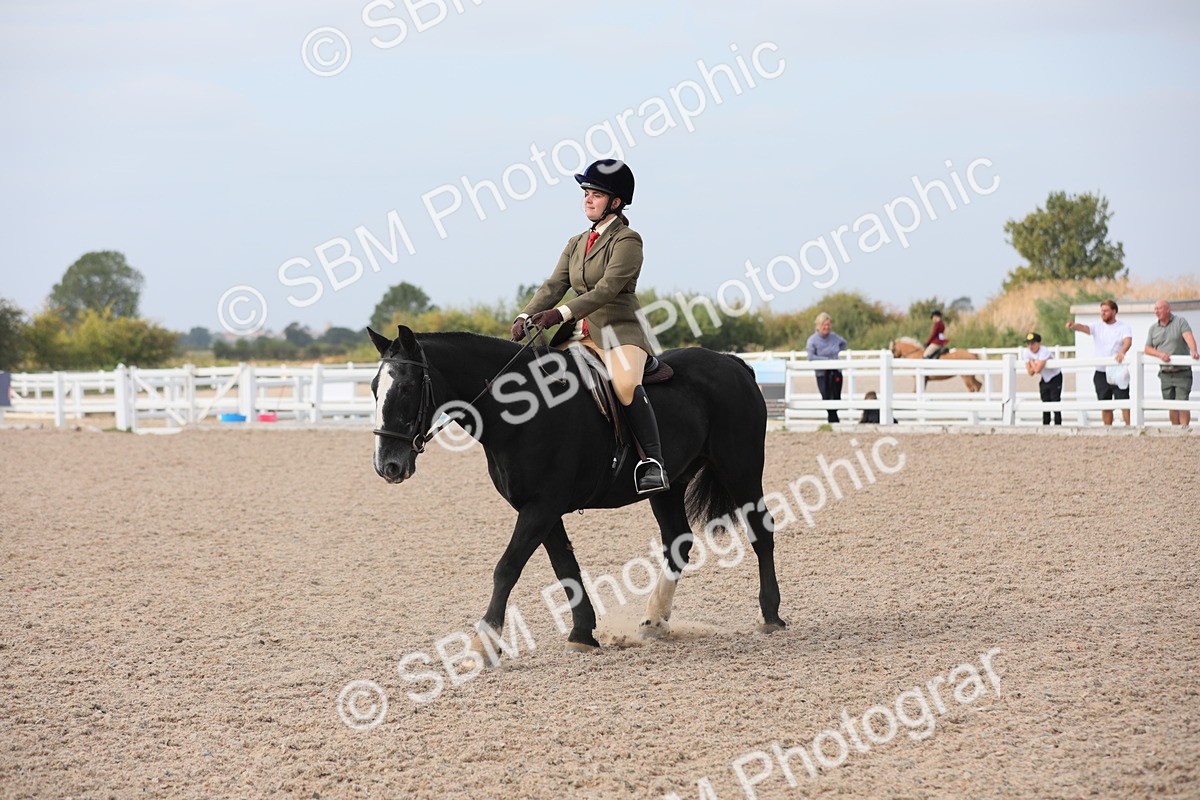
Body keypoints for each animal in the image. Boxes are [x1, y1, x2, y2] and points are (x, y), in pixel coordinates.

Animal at [367, 325, 785, 662]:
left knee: (761, 531)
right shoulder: (540, 508)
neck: (523, 410)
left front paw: (486, 643)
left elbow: (507, 567)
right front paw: (583, 633)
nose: (387, 465)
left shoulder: (542, 506)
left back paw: (770, 615)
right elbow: (564, 567)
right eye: (373, 388)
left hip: (741, 467)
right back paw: (654, 621)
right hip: (669, 485)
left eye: (406, 387)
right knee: (677, 541)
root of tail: (732, 363)